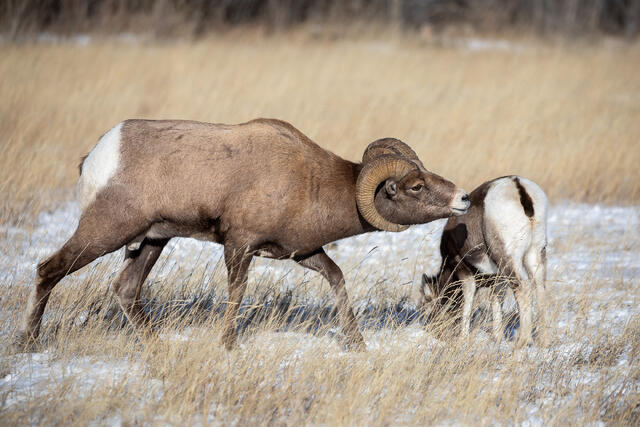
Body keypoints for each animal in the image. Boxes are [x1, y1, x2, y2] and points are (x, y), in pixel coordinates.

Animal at [16, 118, 470, 351]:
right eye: (416, 186)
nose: (463, 199)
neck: (309, 181)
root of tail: (98, 156)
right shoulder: (239, 247)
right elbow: (236, 293)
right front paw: (228, 344)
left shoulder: (303, 254)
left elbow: (338, 279)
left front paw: (356, 344)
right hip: (106, 232)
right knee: (48, 270)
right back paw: (29, 342)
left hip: (152, 241)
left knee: (126, 289)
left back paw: (158, 345)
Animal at [420, 176, 548, 347]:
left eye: (427, 302)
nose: (432, 329)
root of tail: (518, 186)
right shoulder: (498, 279)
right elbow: (496, 300)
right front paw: (497, 338)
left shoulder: (463, 270)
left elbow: (468, 299)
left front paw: (463, 339)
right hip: (535, 253)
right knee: (540, 289)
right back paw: (543, 341)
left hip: (508, 259)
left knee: (523, 288)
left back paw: (523, 341)